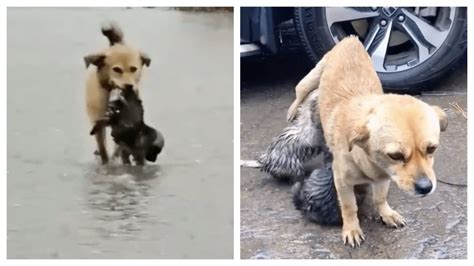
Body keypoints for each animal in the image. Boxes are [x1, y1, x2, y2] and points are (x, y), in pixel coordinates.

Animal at [83, 22, 150, 164]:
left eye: (133, 69)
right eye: (117, 69)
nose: (129, 86)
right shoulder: (98, 122)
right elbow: (102, 145)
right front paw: (106, 160)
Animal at [260, 35, 448, 247]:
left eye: (432, 149)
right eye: (395, 155)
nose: (426, 188)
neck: (370, 163)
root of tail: (351, 39)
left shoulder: (383, 179)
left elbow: (380, 198)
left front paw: (386, 213)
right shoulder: (342, 182)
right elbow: (349, 208)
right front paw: (351, 229)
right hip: (313, 76)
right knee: (300, 90)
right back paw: (293, 110)